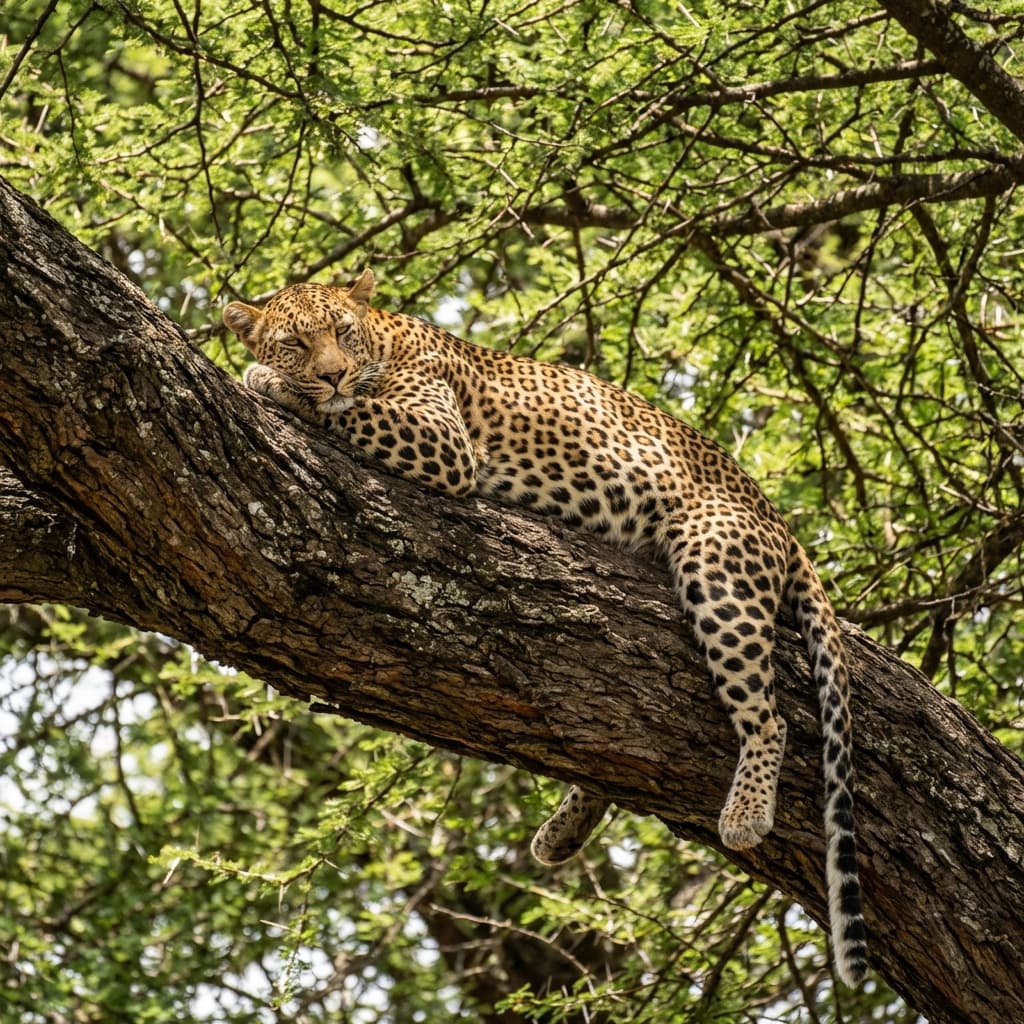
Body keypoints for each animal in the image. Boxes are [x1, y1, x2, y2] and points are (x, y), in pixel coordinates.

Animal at [223, 268, 867, 986]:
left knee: (767, 715)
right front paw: (280, 378)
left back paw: (746, 813)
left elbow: (343, 410)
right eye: (296, 343)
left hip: (717, 567)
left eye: (341, 331)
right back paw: (562, 833)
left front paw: (266, 381)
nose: (332, 373)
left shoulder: (441, 442)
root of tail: (777, 517)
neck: (383, 340)